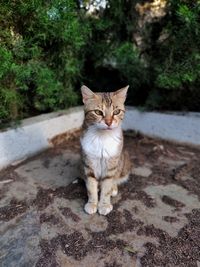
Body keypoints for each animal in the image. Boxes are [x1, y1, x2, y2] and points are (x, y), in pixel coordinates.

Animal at [80, 86, 131, 216]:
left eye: (116, 111)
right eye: (98, 112)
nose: (108, 122)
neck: (102, 137)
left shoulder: (111, 165)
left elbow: (107, 186)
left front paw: (104, 204)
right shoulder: (89, 164)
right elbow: (91, 186)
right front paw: (92, 203)